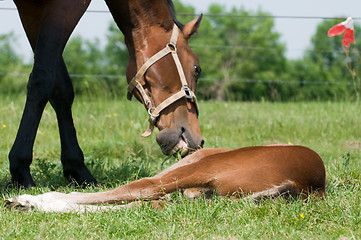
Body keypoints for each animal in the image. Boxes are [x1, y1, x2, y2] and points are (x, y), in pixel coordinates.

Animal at [8, 0, 204, 188]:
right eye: (197, 69)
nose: (198, 141)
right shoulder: (65, 6)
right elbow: (42, 80)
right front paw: (20, 171)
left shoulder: (32, 12)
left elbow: (61, 88)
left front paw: (77, 169)